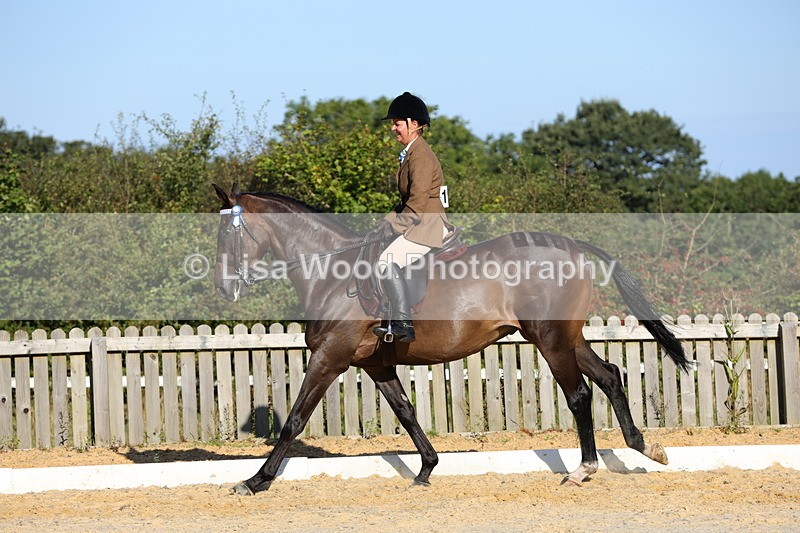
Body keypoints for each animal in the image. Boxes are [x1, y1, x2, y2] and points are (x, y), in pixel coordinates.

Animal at [211, 183, 690, 496]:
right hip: (567, 338)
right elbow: (406, 412)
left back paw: (583, 470)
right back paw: (646, 447)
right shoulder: (376, 364)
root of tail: (570, 244)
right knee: (609, 375)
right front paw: (426, 470)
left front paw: (256, 480)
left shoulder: (330, 358)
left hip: (550, 340)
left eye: (228, 233)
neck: (331, 272)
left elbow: (294, 420)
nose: (224, 288)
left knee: (579, 394)